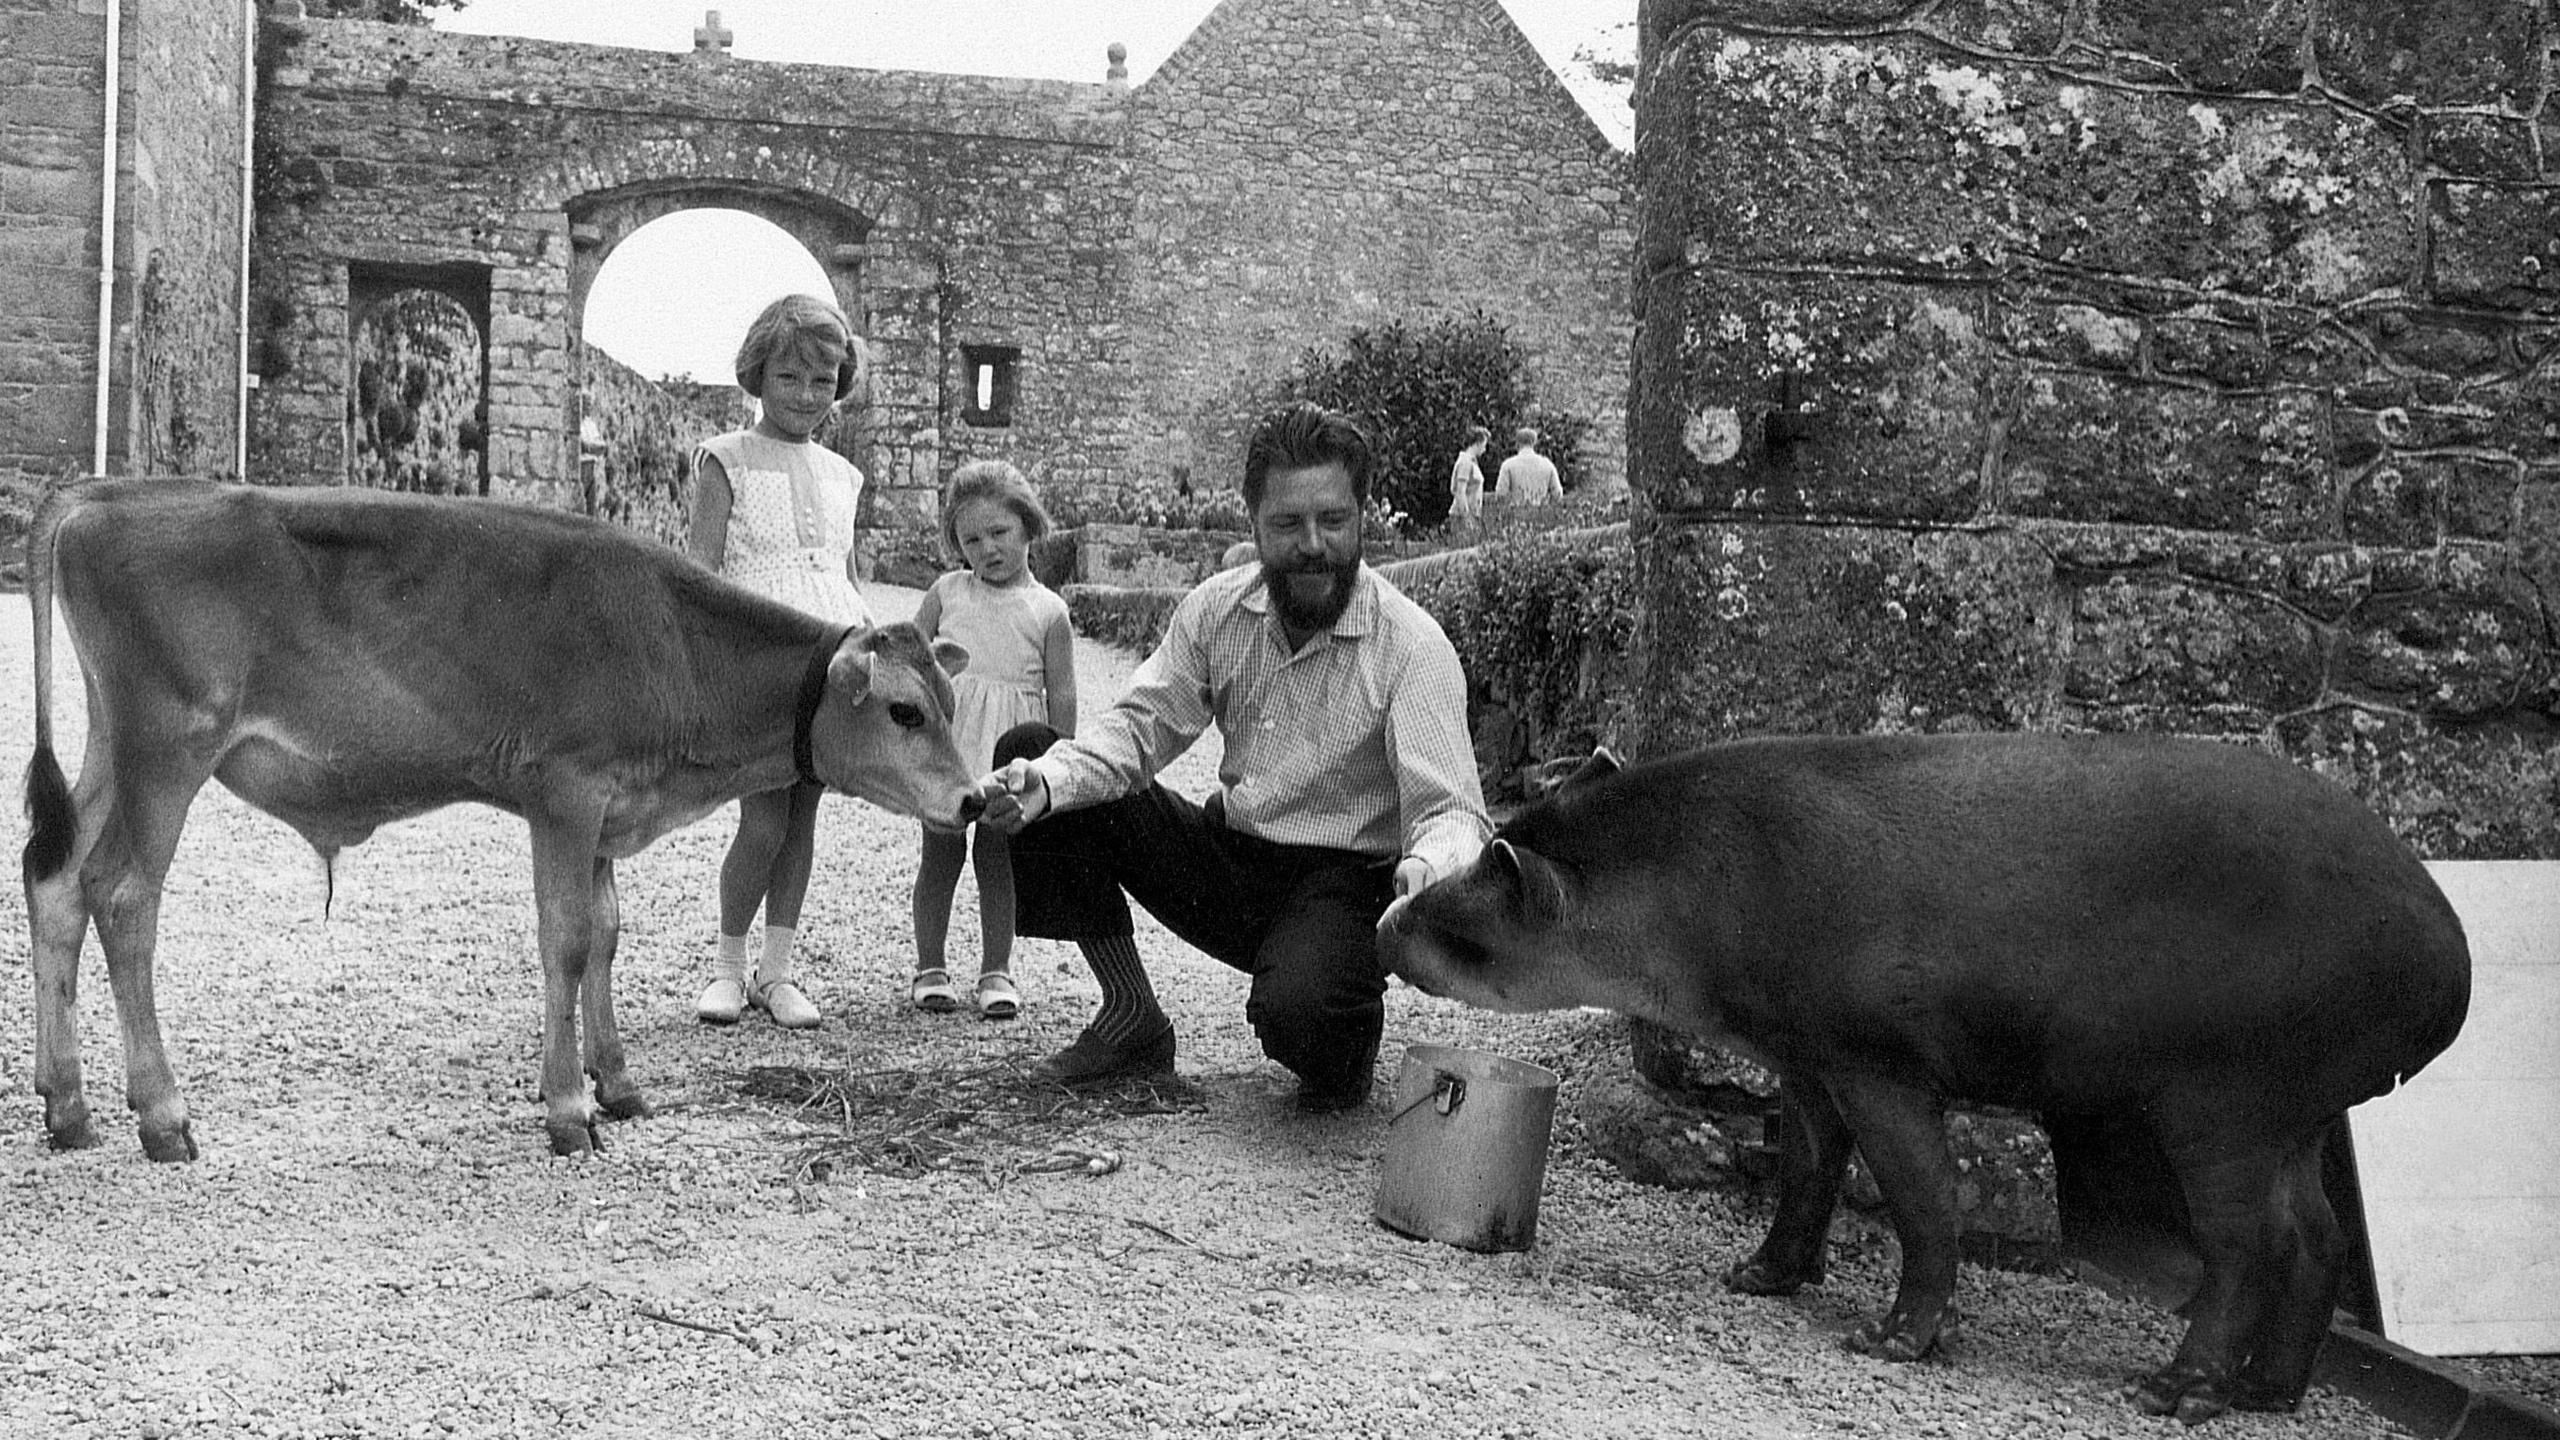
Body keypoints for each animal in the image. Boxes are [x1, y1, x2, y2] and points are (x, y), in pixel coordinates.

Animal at [20, 479, 977, 1153]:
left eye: (949, 701)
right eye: (904, 711)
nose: (974, 798)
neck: (671, 640)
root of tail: (110, 493)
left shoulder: (607, 813)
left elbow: (607, 932)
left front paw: (617, 1084)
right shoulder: (565, 793)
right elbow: (567, 940)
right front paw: (567, 1110)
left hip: (112, 747)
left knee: (55, 882)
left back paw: (68, 1106)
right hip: (169, 750)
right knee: (123, 896)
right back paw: (162, 1115)